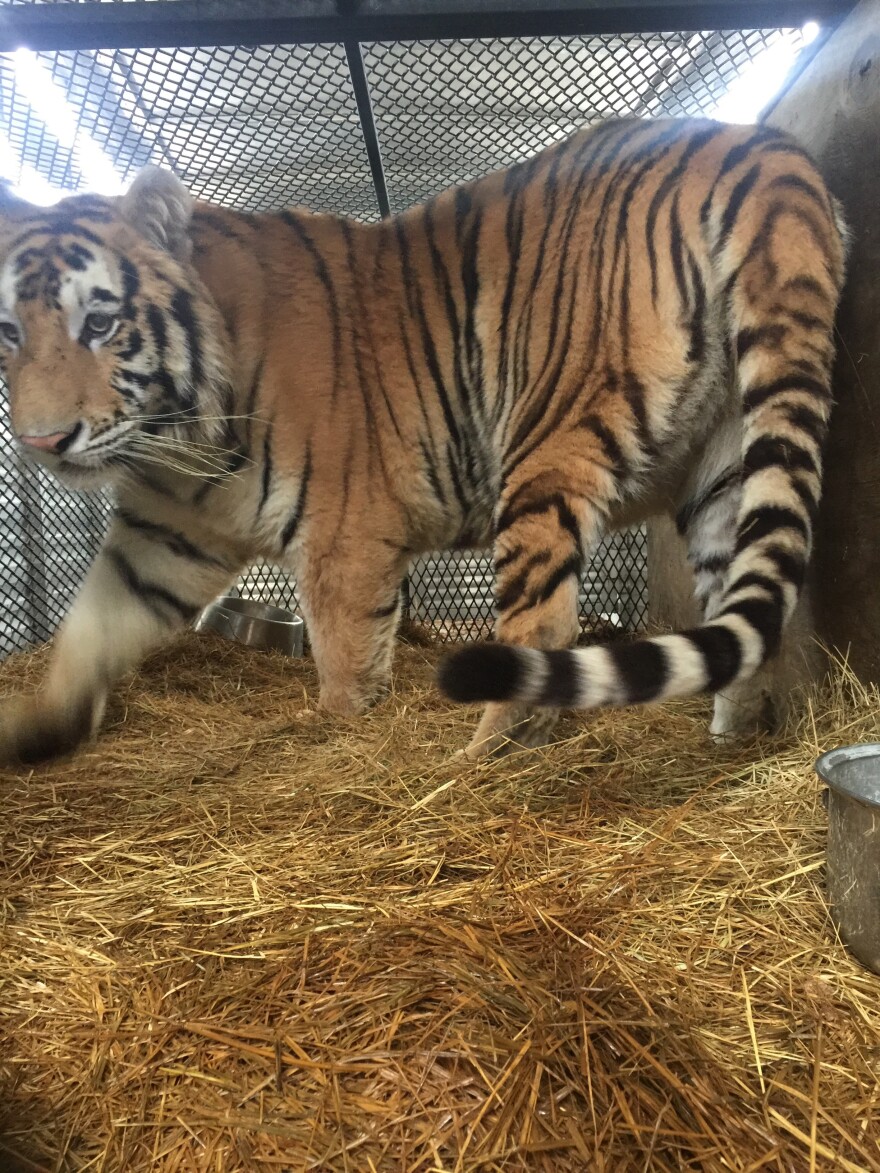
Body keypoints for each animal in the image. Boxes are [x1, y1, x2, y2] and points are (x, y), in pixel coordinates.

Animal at [0, 114, 849, 764]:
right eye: (9, 331)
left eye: (99, 323)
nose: (42, 441)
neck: (178, 438)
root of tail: (754, 144)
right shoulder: (162, 533)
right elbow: (91, 627)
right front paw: (39, 727)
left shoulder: (342, 539)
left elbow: (345, 663)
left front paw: (335, 734)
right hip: (724, 461)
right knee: (741, 609)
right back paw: (727, 741)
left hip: (544, 439)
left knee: (543, 623)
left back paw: (478, 760)